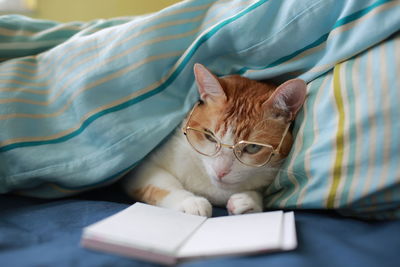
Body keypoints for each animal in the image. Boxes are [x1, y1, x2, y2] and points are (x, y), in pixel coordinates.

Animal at [123, 63, 308, 218]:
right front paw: (189, 201)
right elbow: (164, 183)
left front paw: (250, 200)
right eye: (210, 136)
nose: (221, 171)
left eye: (253, 147)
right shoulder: (143, 168)